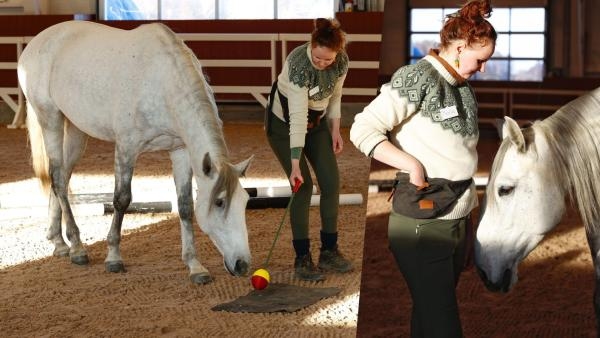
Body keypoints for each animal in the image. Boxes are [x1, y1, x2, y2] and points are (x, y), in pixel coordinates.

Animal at [18, 20, 252, 286]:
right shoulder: (126, 147)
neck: (162, 80)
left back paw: (58, 241)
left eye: (246, 201)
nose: (242, 265)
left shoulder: (180, 150)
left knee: (62, 178)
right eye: (220, 202)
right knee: (57, 177)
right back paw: (77, 248)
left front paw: (195, 266)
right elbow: (121, 199)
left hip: (77, 131)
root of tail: (37, 42)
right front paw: (113, 257)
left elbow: (184, 206)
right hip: (50, 120)